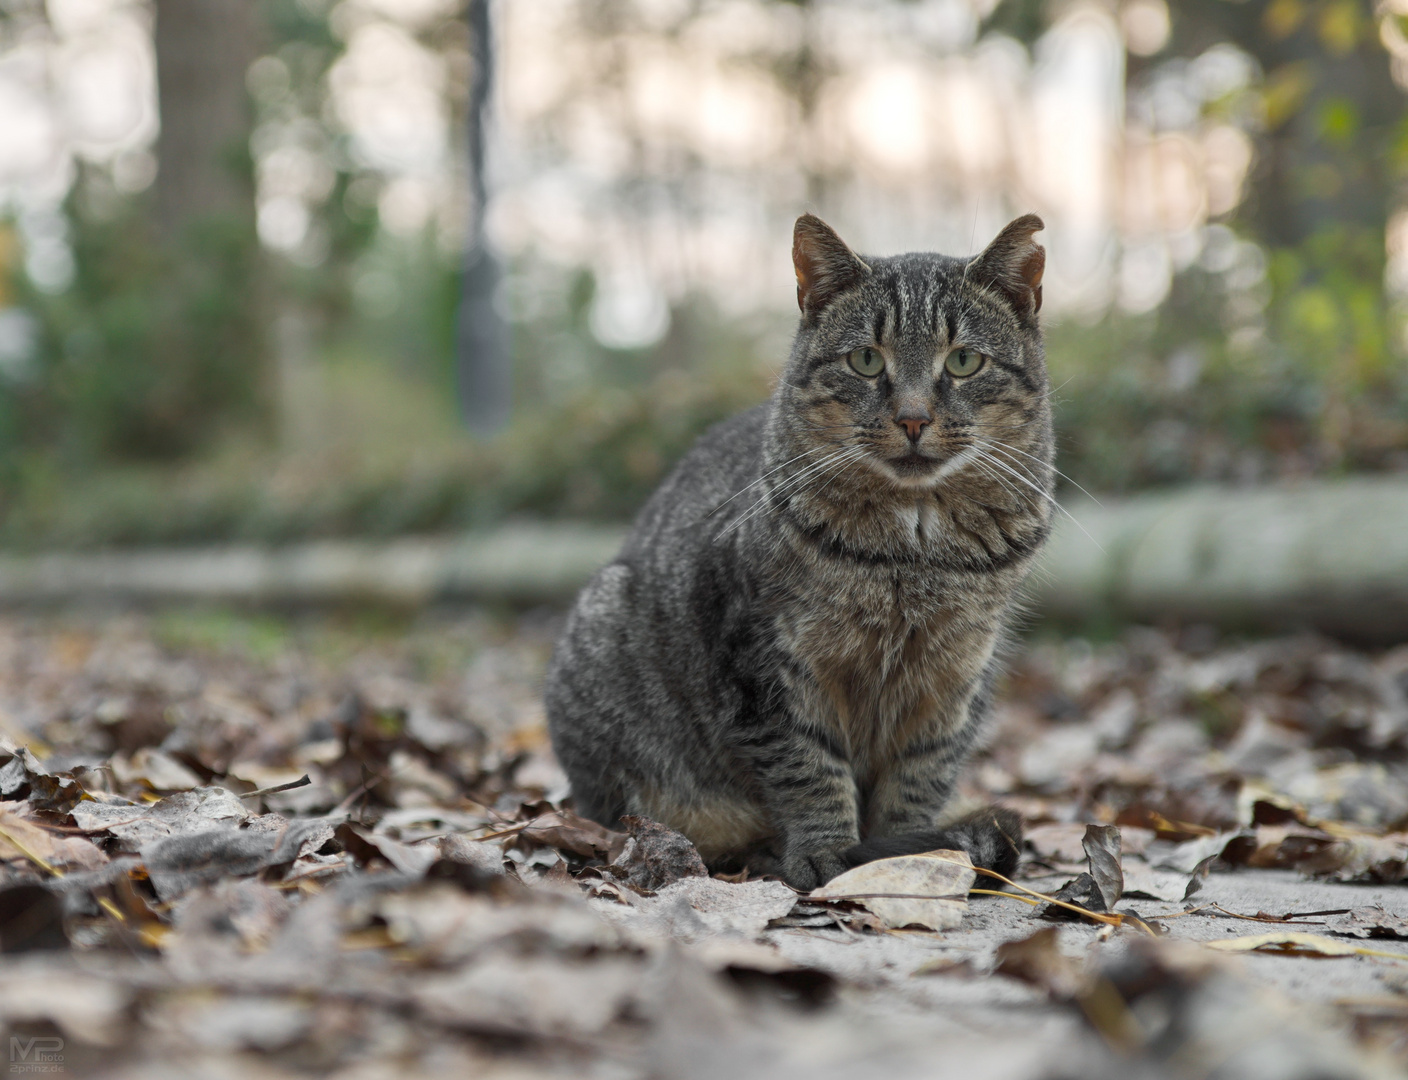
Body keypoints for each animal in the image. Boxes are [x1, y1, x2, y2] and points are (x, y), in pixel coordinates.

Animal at [543, 211, 1053, 889]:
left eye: (965, 361)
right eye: (866, 359)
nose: (913, 418)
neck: (914, 554)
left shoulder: (953, 680)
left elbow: (917, 779)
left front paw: (908, 855)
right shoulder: (765, 667)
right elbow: (807, 768)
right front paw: (827, 852)